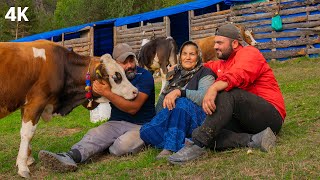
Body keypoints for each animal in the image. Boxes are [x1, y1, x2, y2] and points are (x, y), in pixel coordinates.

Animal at [0, 39, 138, 179]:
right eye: (116, 76)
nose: (135, 91)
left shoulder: (26, 105)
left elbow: (27, 133)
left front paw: (28, 159)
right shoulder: (36, 102)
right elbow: (27, 133)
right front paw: (23, 167)